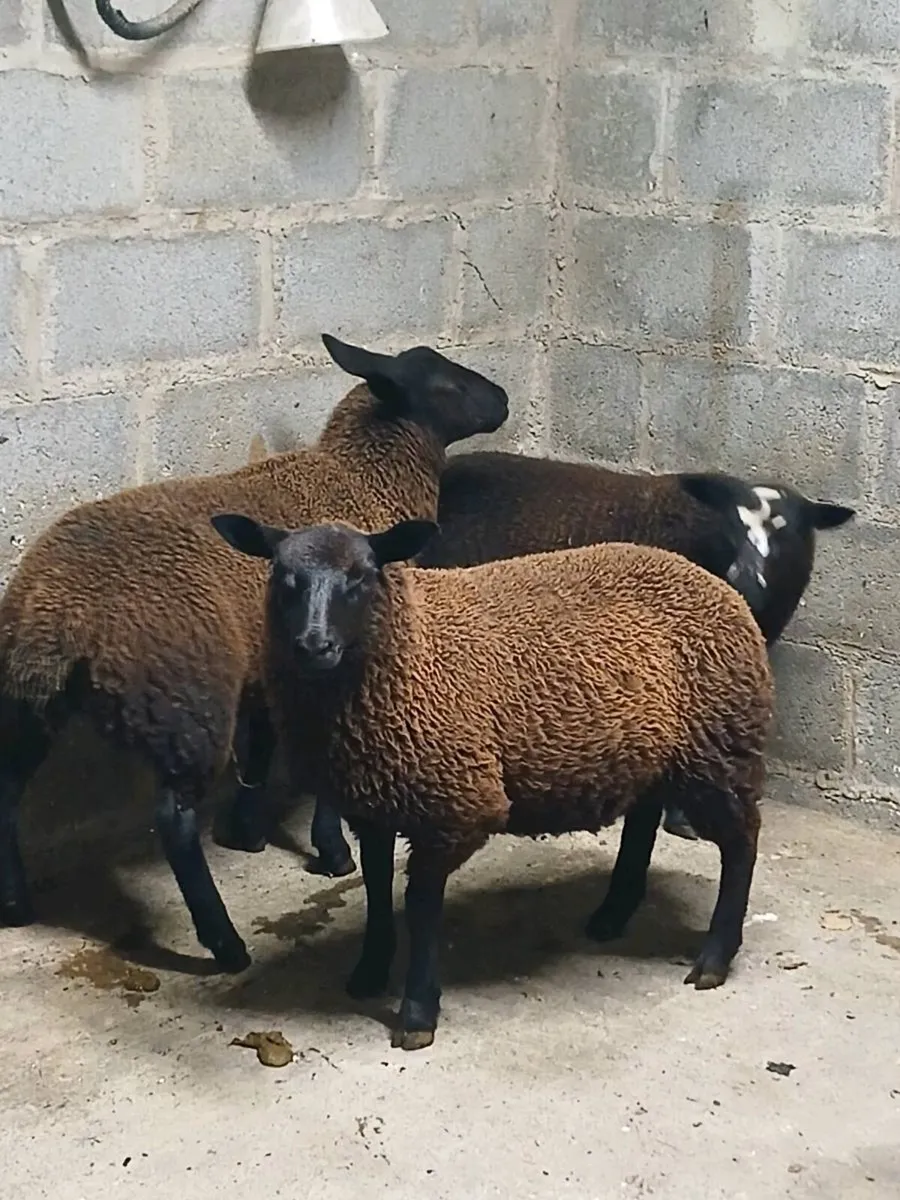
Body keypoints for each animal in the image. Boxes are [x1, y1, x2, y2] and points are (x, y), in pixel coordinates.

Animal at [0, 335, 508, 973]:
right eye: (446, 383)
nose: (504, 400)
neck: (361, 479)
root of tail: (62, 609)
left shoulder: (272, 665)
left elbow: (264, 743)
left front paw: (246, 829)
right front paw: (331, 849)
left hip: (29, 697)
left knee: (7, 783)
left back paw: (15, 903)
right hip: (184, 703)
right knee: (174, 822)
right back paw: (224, 943)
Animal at [212, 512, 774, 1051]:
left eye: (361, 575)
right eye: (283, 577)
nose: (314, 646)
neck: (412, 645)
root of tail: (709, 579)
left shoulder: (455, 805)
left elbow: (421, 906)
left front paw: (417, 1011)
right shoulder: (374, 802)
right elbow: (375, 887)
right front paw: (370, 971)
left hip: (719, 747)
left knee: (742, 843)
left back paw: (714, 957)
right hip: (656, 753)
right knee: (643, 823)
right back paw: (612, 916)